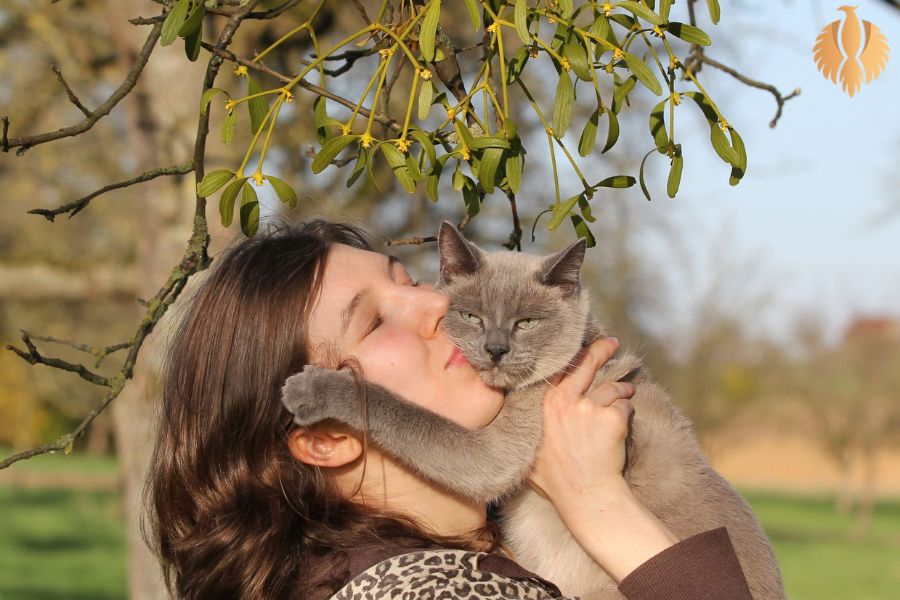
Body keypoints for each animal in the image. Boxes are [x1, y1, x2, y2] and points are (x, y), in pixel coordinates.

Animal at [282, 221, 780, 600]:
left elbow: (396, 408)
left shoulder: (494, 452)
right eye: (473, 317)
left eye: (526, 323)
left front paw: (305, 388)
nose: (496, 349)